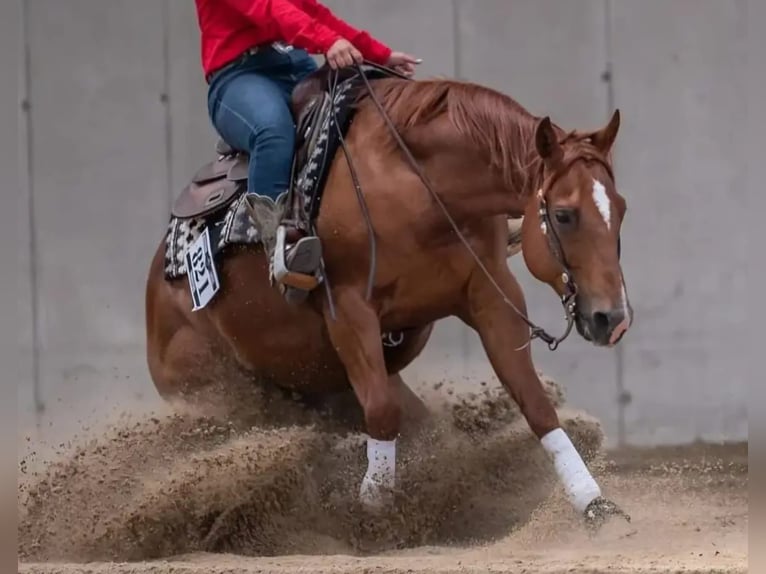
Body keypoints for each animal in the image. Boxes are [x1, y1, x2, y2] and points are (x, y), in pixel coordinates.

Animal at [145, 63, 632, 529]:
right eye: (564, 215)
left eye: (621, 209)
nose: (612, 318)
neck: (420, 186)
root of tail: (156, 294)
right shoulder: (349, 310)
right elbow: (381, 412)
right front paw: (374, 512)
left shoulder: (492, 297)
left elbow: (536, 405)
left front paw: (594, 504)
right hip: (219, 401)